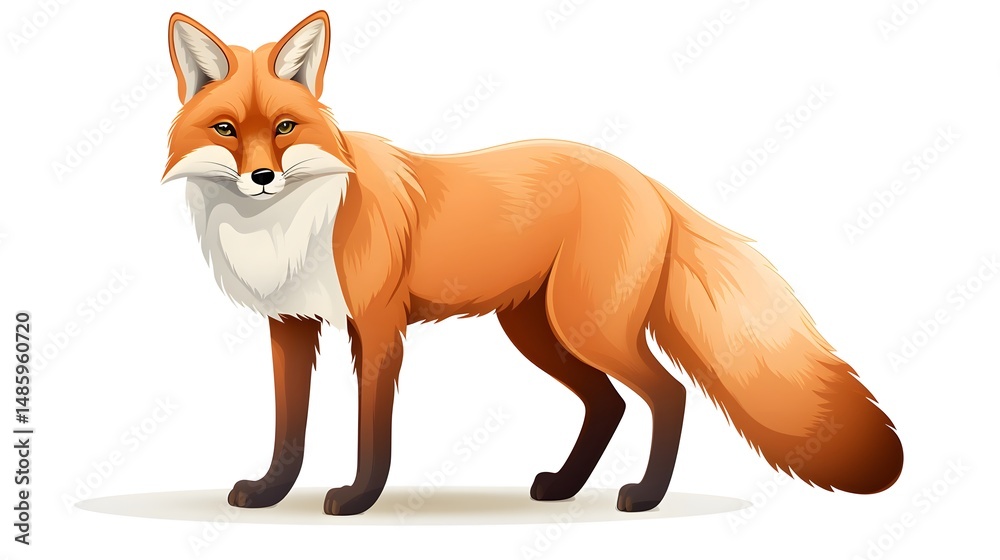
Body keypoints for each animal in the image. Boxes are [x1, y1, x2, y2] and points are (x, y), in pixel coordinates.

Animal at [162, 11, 903, 516]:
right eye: (226, 129)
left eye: (285, 127)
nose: (262, 177)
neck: (288, 226)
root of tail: (644, 179)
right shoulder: (290, 326)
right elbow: (288, 428)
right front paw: (269, 491)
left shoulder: (377, 328)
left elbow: (373, 431)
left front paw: (358, 498)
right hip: (540, 332)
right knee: (608, 403)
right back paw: (566, 485)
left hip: (586, 327)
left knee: (667, 394)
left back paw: (645, 495)